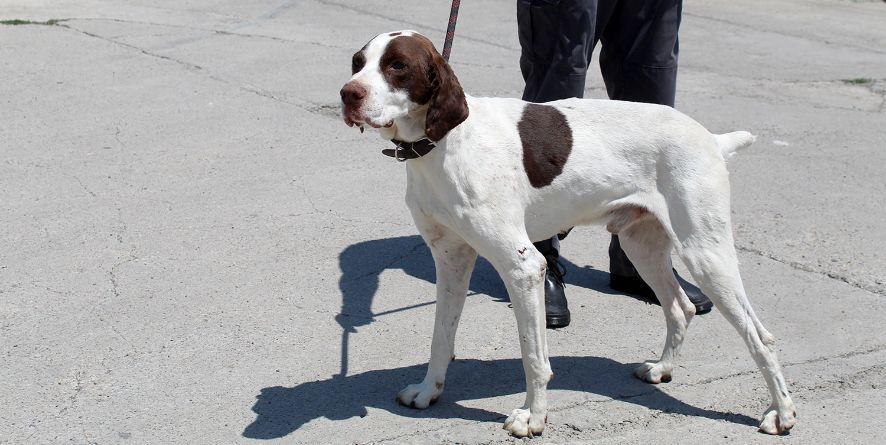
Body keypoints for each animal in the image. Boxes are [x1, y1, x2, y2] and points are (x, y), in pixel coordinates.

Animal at [340, 32, 796, 438]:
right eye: (358, 62)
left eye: (397, 66)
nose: (348, 94)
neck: (443, 144)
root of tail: (711, 139)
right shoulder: (451, 260)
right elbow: (441, 338)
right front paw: (427, 392)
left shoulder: (523, 267)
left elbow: (533, 355)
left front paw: (533, 417)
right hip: (642, 246)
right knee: (680, 307)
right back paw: (663, 369)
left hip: (705, 254)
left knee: (761, 336)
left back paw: (781, 413)